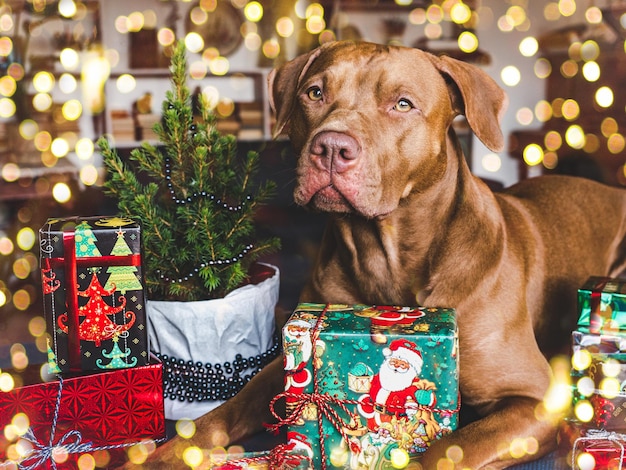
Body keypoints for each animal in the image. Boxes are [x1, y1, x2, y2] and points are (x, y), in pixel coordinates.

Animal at [127, 41, 624, 470]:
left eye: (402, 104)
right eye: (315, 92)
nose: (331, 147)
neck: (387, 255)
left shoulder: (536, 400)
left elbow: (449, 449)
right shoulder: (282, 359)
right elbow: (229, 407)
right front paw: (169, 453)